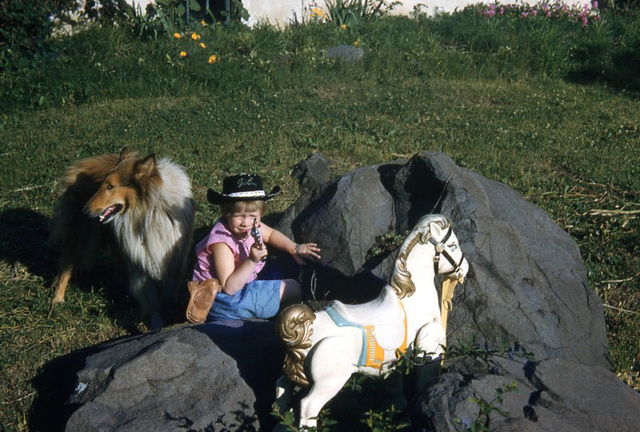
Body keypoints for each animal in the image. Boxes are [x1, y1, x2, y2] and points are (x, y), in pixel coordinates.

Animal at [50, 148, 192, 328]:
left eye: (111, 186)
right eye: (102, 185)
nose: (85, 211)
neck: (148, 213)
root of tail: (90, 160)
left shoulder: (174, 262)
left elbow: (168, 295)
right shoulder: (141, 263)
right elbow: (152, 300)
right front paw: (156, 325)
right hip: (80, 235)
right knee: (66, 266)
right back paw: (57, 299)